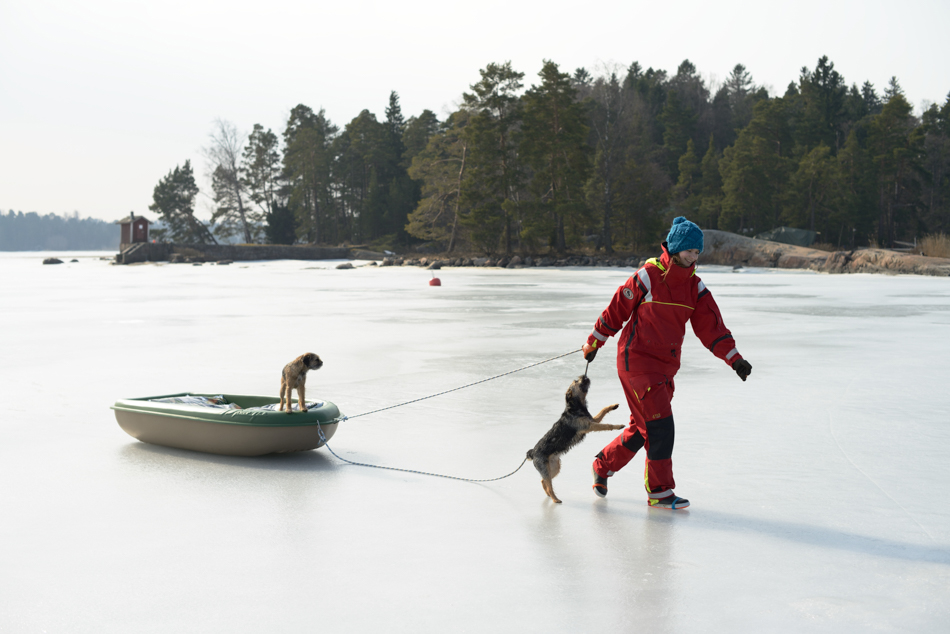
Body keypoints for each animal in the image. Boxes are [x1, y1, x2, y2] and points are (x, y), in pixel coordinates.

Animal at [528, 376, 624, 504]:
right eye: (576, 381)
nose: (584, 376)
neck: (575, 407)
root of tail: (532, 452)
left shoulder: (593, 420)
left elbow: (603, 410)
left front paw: (613, 406)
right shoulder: (589, 426)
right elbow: (606, 426)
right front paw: (618, 426)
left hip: (554, 467)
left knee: (544, 481)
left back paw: (548, 494)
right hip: (545, 468)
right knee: (549, 485)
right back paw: (555, 499)